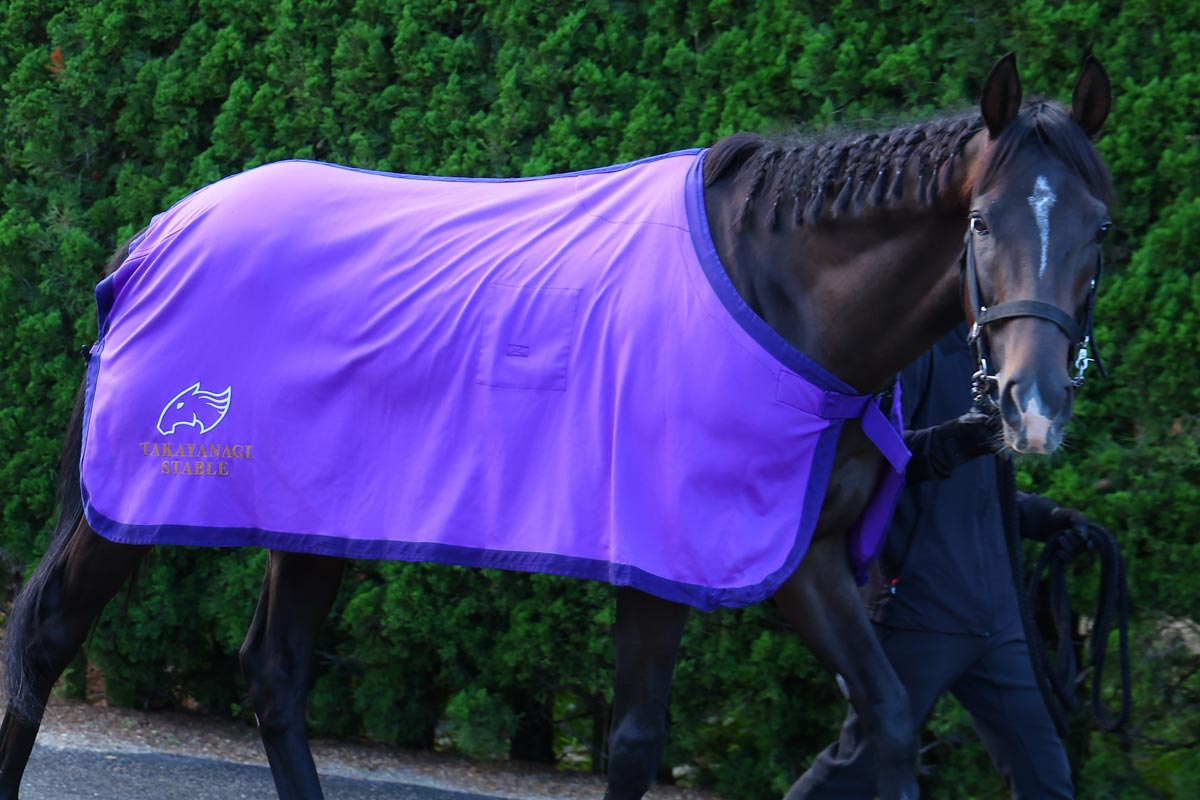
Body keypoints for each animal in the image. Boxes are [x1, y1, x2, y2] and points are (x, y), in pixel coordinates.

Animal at [0, 53, 1113, 800]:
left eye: (1100, 228)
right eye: (982, 223)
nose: (1032, 411)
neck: (780, 297)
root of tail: (159, 233)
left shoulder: (807, 554)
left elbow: (883, 720)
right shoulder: (661, 559)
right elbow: (634, 741)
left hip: (311, 517)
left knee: (275, 676)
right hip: (129, 499)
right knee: (45, 632)